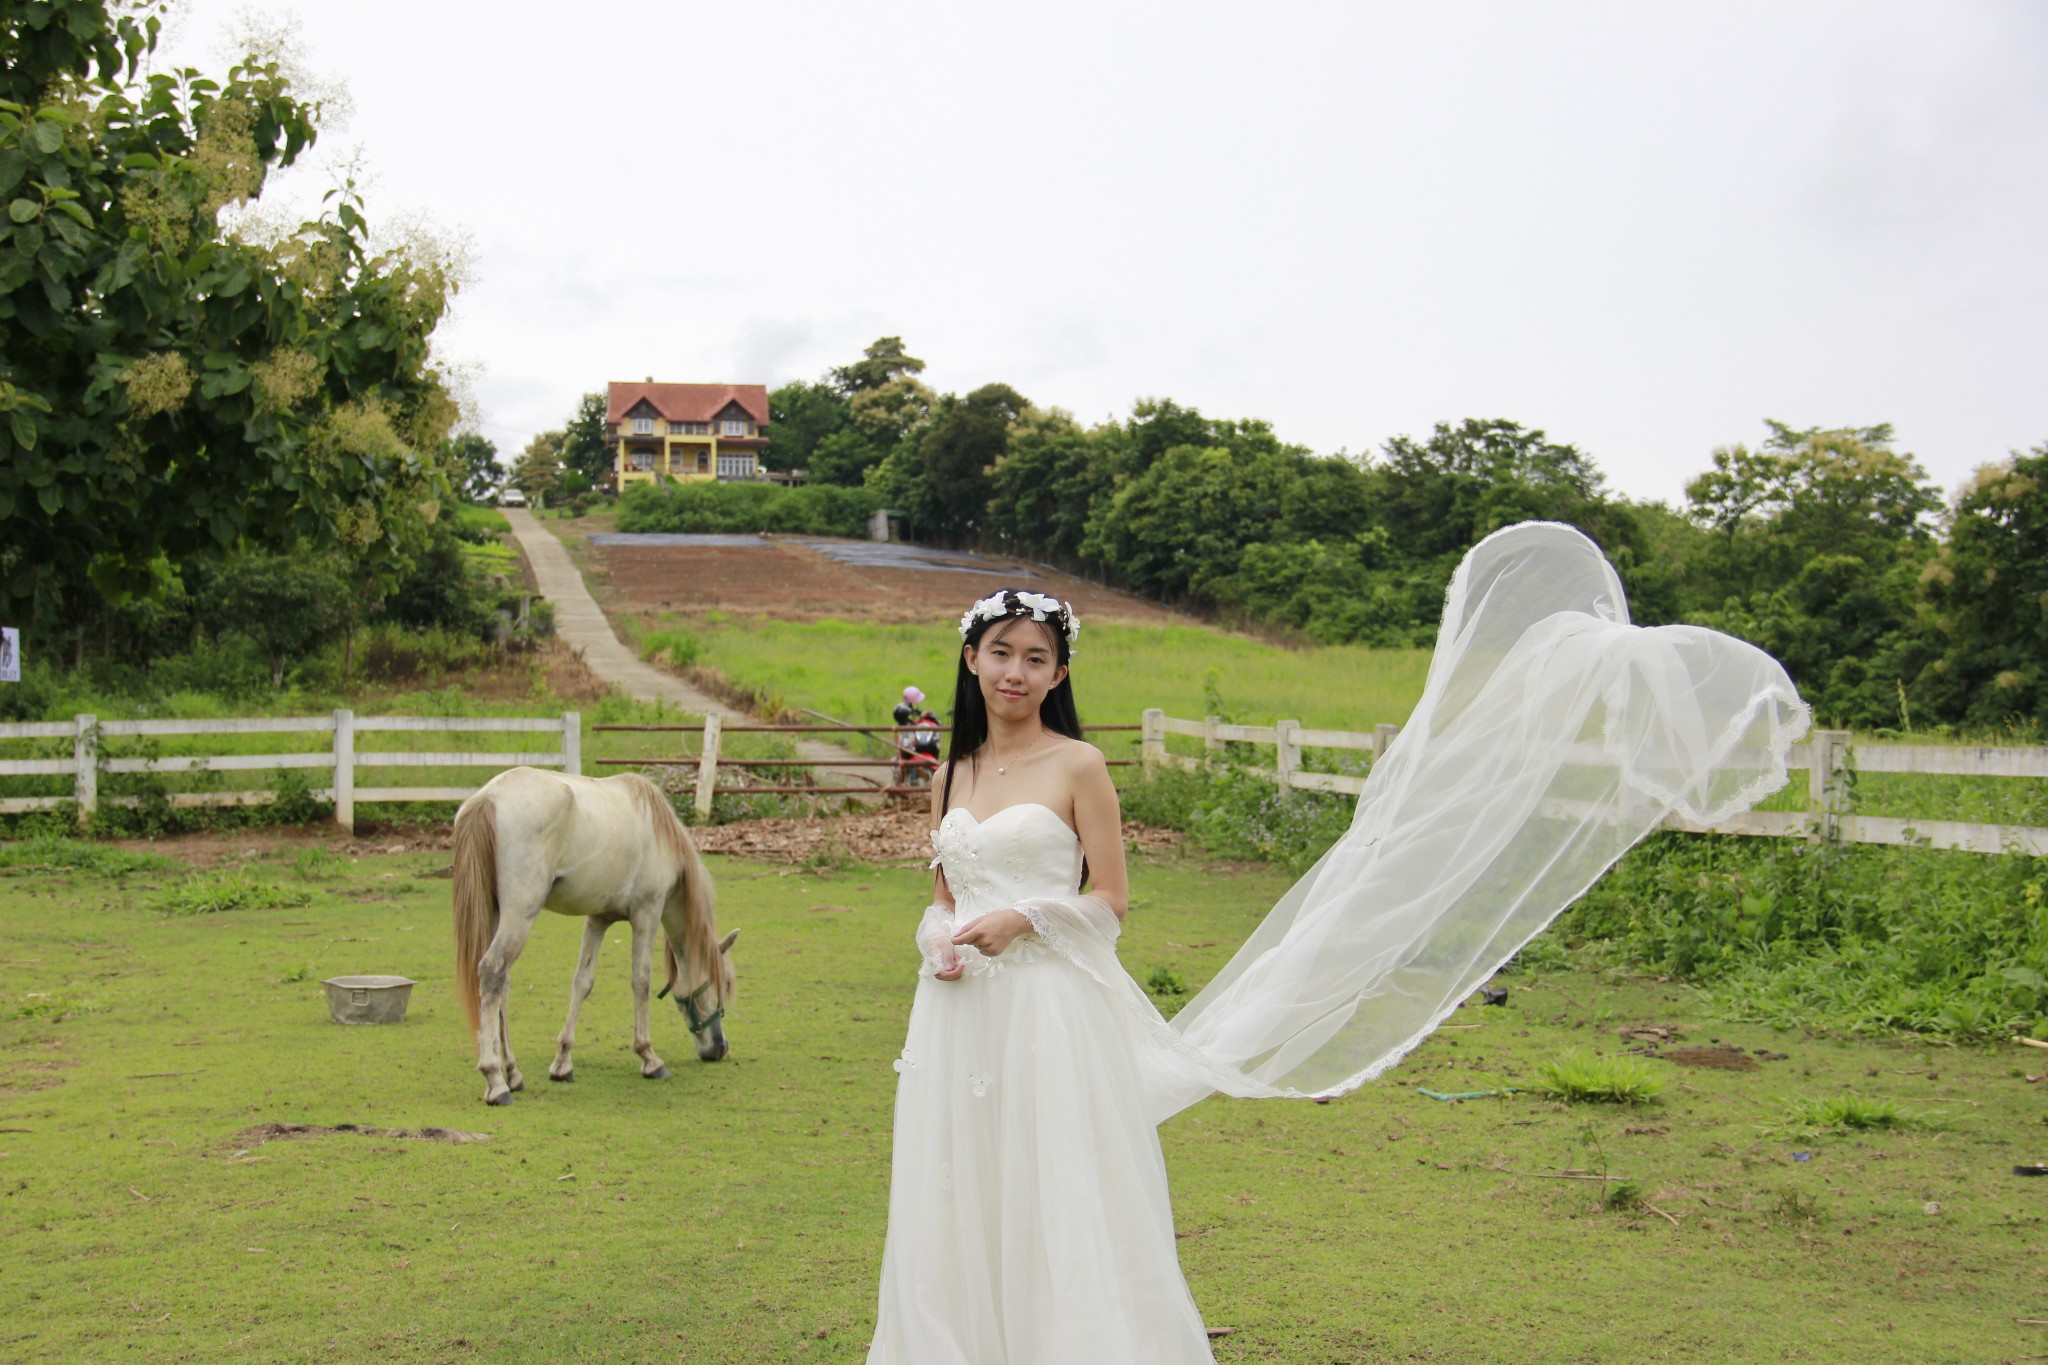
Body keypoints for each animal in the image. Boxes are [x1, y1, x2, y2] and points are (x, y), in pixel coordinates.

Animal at [452, 769, 741, 1113]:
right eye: (724, 985)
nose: (720, 1048)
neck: (657, 831)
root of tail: (488, 798)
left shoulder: (598, 919)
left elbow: (582, 983)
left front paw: (562, 1064)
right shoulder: (647, 913)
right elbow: (641, 981)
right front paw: (649, 1058)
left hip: (497, 913)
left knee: (501, 985)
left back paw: (512, 1073)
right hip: (519, 915)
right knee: (492, 971)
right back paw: (495, 1081)